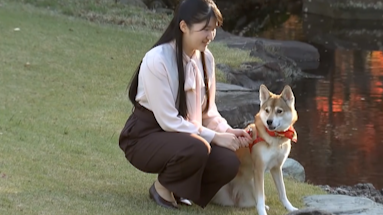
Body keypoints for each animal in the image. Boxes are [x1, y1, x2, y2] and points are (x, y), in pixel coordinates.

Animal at [213, 84, 300, 215]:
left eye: (279, 111)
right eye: (267, 110)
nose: (269, 121)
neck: (275, 138)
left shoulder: (276, 168)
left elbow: (282, 192)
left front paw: (290, 208)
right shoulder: (259, 169)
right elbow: (260, 196)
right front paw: (262, 211)